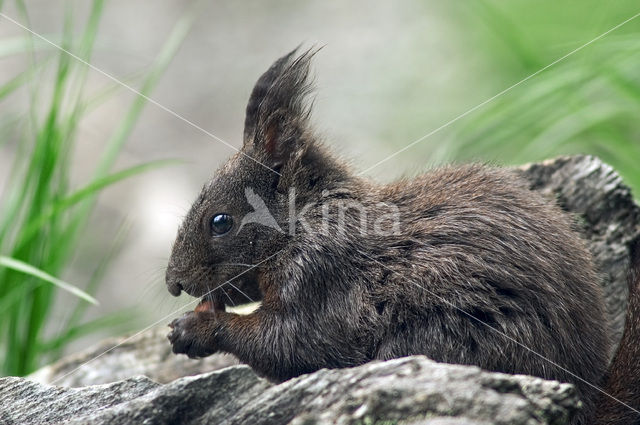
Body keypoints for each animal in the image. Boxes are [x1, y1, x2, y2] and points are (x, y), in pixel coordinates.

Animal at [166, 47, 640, 424]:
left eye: (220, 221)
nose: (174, 283)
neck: (306, 223)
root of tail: (586, 398)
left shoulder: (323, 277)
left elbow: (294, 346)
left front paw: (195, 328)